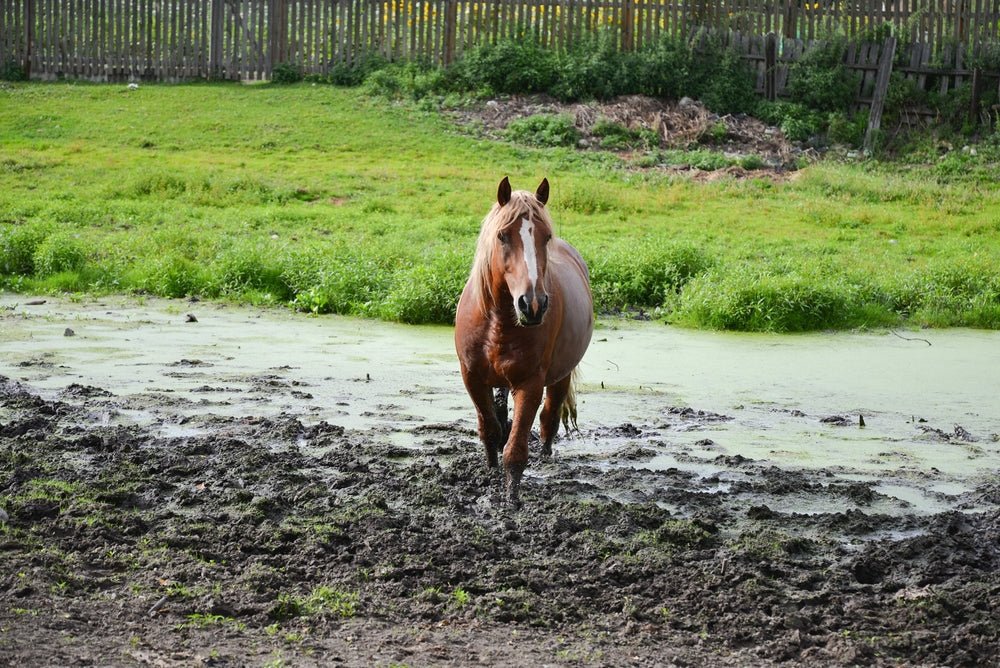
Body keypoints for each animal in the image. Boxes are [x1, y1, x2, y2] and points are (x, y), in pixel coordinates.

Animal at [454, 177, 594, 505]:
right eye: (502, 236)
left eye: (546, 236)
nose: (533, 304)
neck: (498, 323)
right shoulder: (472, 378)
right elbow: (491, 430)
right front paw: (490, 472)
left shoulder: (530, 385)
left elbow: (516, 449)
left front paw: (511, 500)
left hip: (561, 377)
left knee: (549, 418)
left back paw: (546, 457)